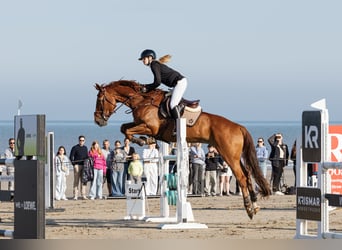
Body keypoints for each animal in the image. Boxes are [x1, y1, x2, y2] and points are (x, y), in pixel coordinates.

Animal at [93, 79, 270, 219]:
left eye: (100, 99)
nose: (98, 121)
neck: (141, 100)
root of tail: (238, 127)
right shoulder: (141, 125)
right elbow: (124, 128)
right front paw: (145, 140)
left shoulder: (150, 127)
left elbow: (128, 130)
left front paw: (143, 140)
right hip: (233, 156)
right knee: (247, 175)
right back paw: (255, 205)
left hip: (229, 155)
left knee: (242, 177)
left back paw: (249, 208)